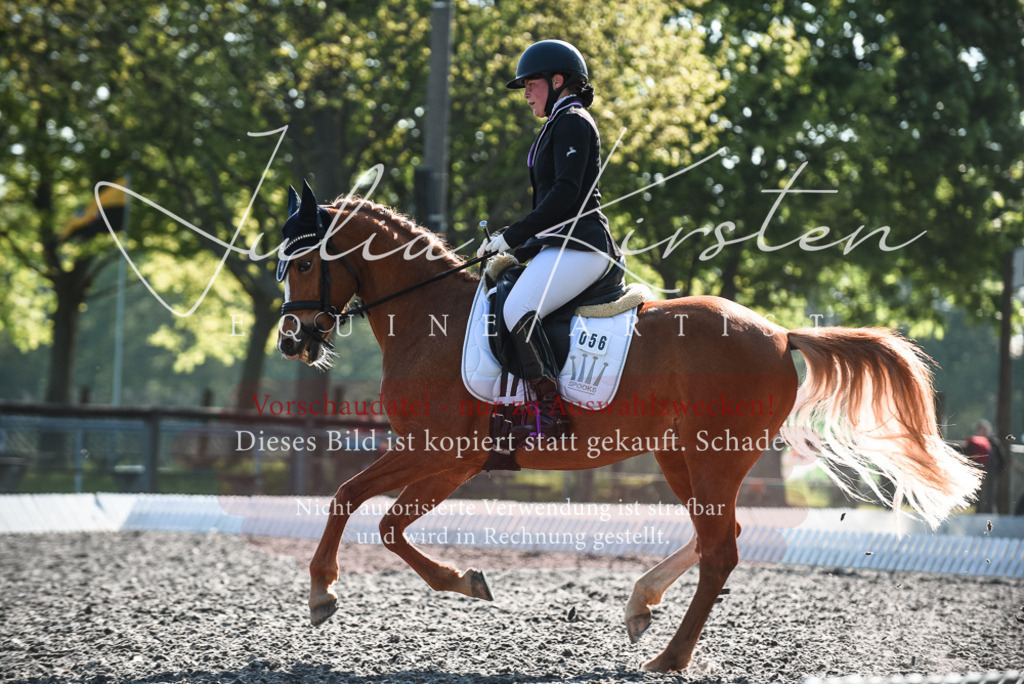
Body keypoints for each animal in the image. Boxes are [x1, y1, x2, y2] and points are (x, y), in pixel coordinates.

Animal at [274, 182, 980, 673]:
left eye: (304, 264)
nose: (291, 342)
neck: (428, 321)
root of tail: (780, 335)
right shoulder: (448, 460)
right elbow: (377, 517)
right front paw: (458, 582)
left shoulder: (441, 452)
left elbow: (358, 505)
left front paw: (326, 593)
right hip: (682, 457)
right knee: (717, 535)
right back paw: (643, 606)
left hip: (714, 457)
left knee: (722, 549)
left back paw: (668, 657)